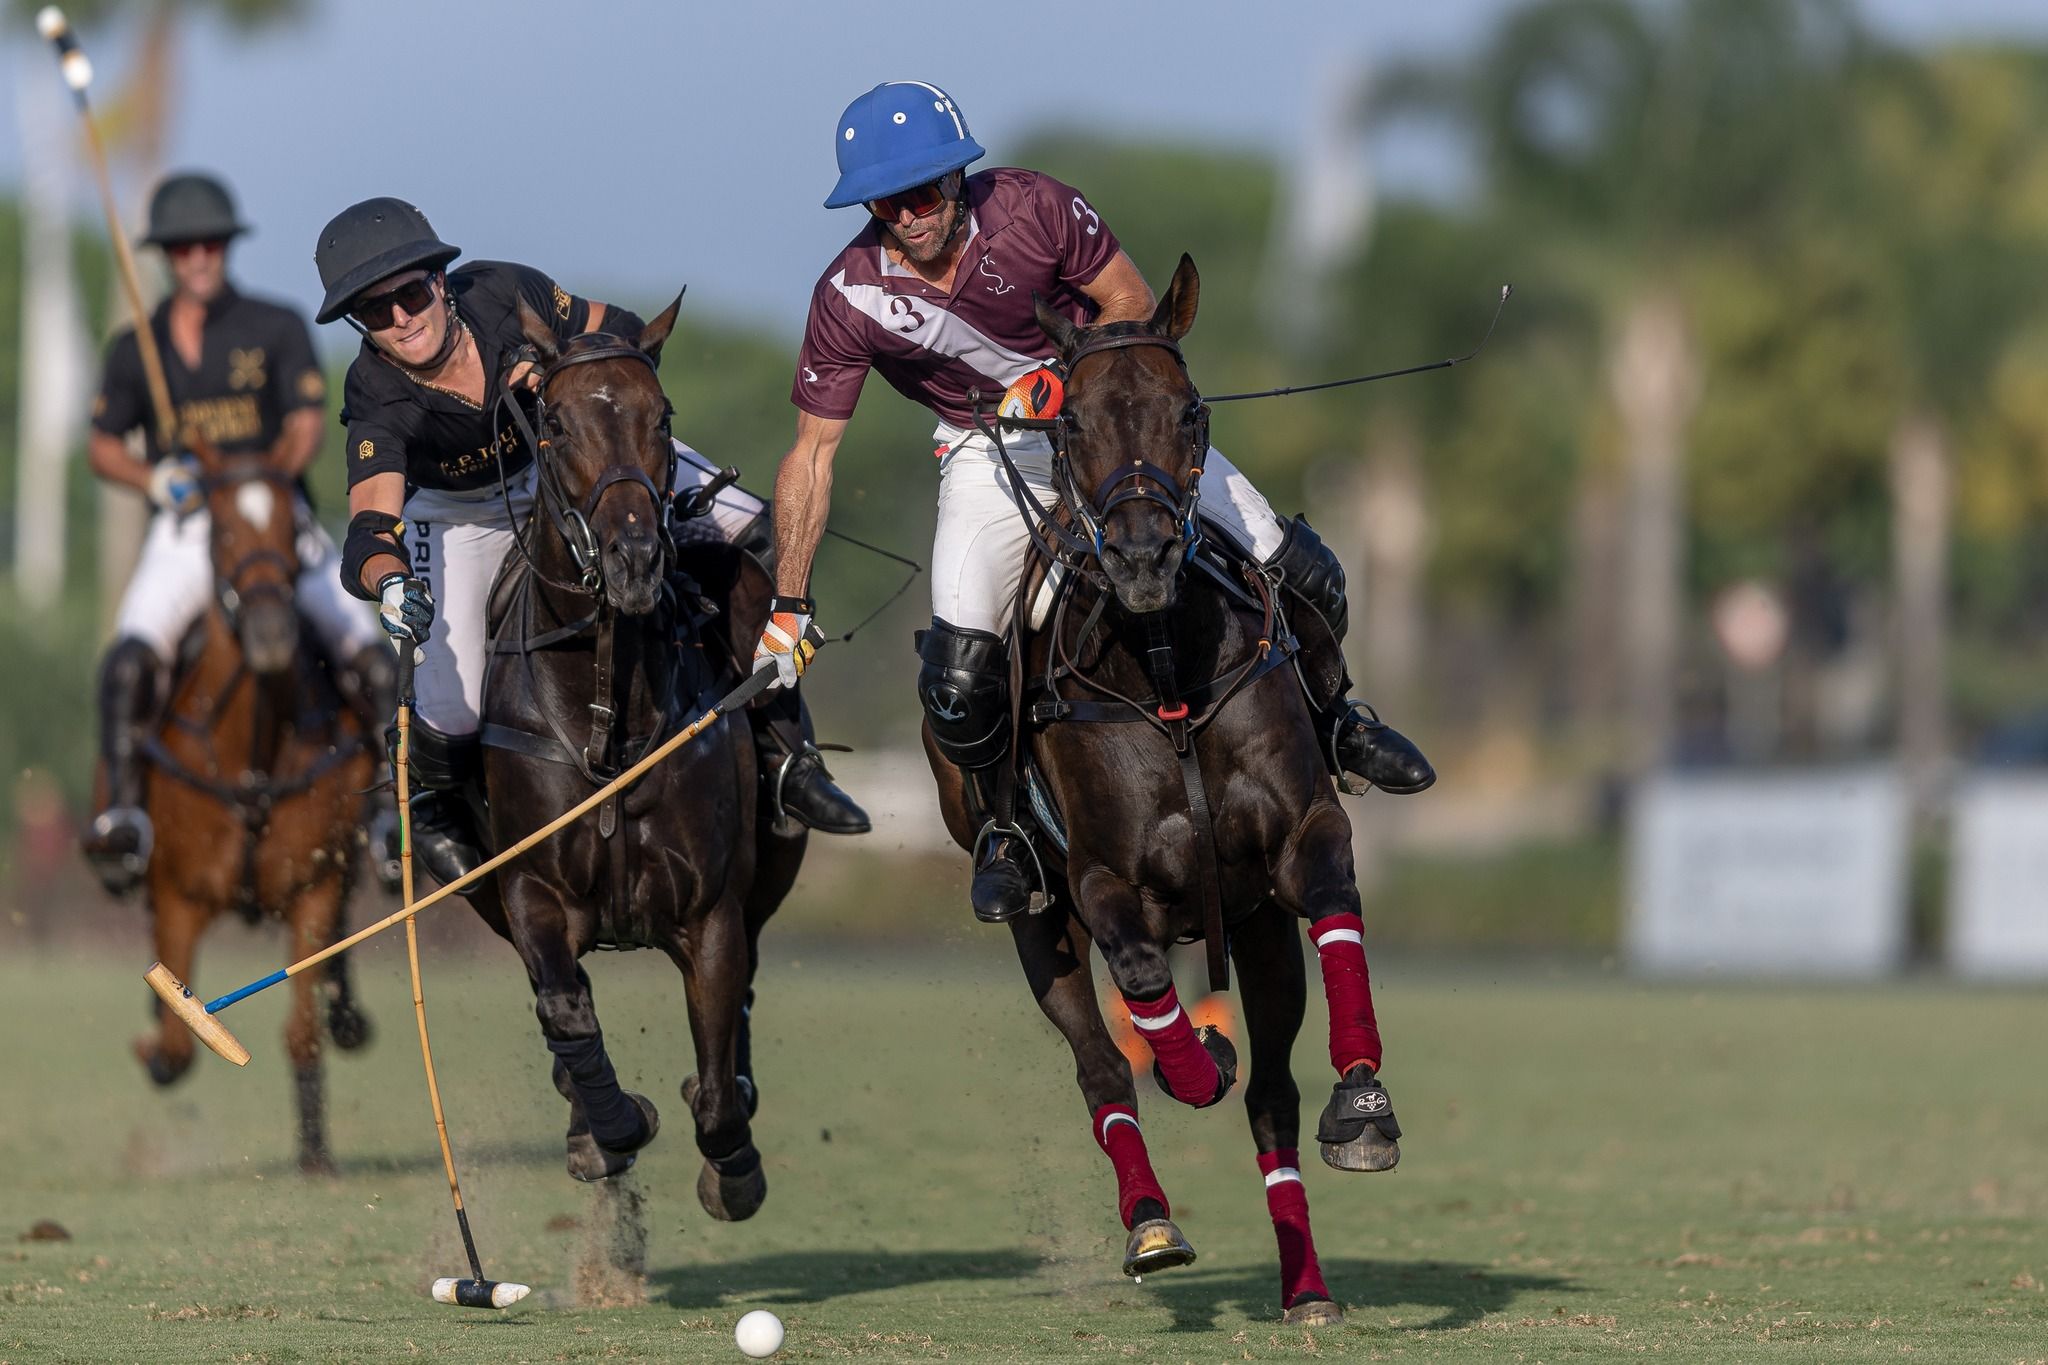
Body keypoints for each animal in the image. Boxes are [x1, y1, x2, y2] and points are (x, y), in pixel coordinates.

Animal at [131, 450, 376, 1178]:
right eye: (222, 533)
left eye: (294, 534)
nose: (270, 634)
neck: (254, 757)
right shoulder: (177, 893)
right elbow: (176, 1046)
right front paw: (156, 1038)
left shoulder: (314, 887)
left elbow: (302, 1031)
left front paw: (316, 1155)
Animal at [475, 298, 802, 1219]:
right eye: (551, 423)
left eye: (663, 416)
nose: (633, 561)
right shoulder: (532, 890)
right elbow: (564, 1006)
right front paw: (614, 1122)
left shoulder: (712, 909)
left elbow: (720, 1077)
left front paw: (735, 1166)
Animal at [933, 253, 1400, 1326]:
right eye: (1067, 422)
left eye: (1191, 409)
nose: (1143, 555)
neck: (1160, 665)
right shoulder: (1103, 880)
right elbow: (1144, 978)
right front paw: (1193, 1065)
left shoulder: (1300, 836)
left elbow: (1335, 901)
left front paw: (1364, 1103)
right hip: (1036, 921)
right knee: (1101, 1065)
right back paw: (1151, 1221)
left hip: (1258, 930)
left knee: (1272, 1096)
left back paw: (1306, 1286)